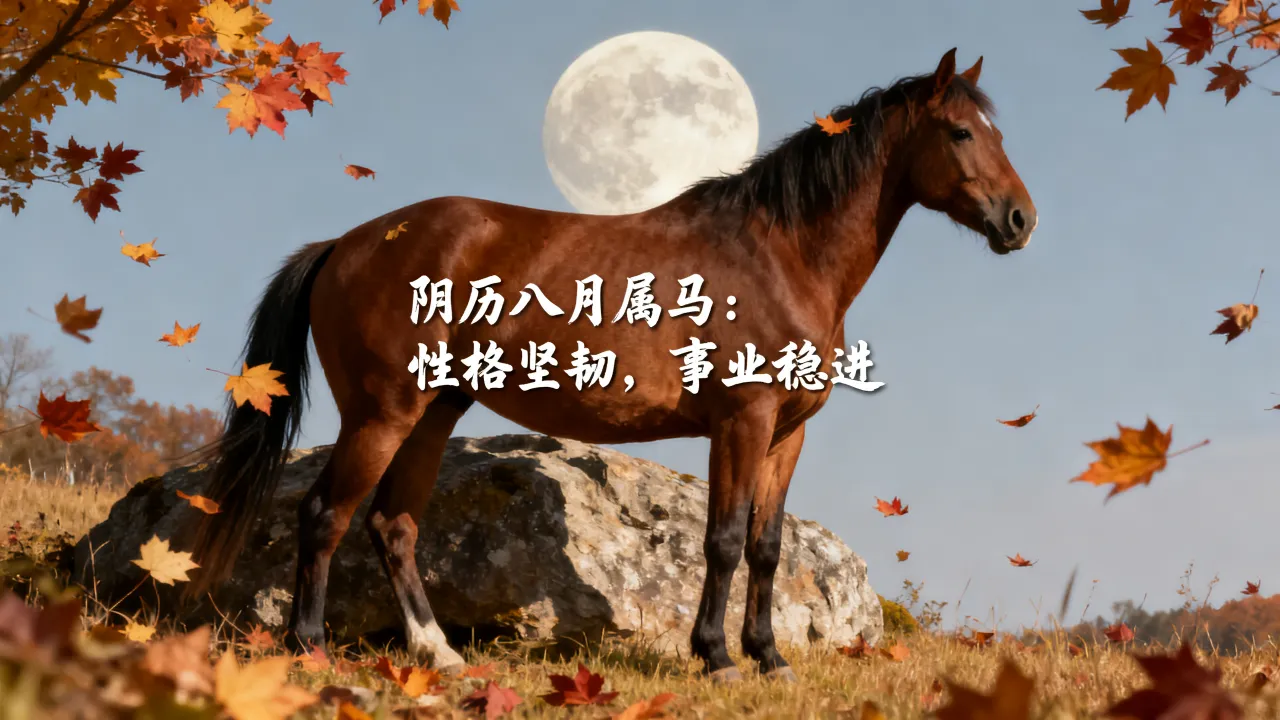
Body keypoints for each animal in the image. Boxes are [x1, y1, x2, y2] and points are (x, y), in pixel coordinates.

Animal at [186, 48, 1036, 683]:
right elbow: (724, 539)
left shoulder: (787, 434)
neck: (780, 254)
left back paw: (439, 656)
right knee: (324, 516)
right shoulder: (741, 422)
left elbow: (767, 546)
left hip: (433, 412)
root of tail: (346, 243)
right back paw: (310, 652)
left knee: (393, 525)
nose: (1020, 220)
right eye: (960, 132)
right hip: (382, 413)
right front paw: (718, 658)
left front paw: (770, 659)